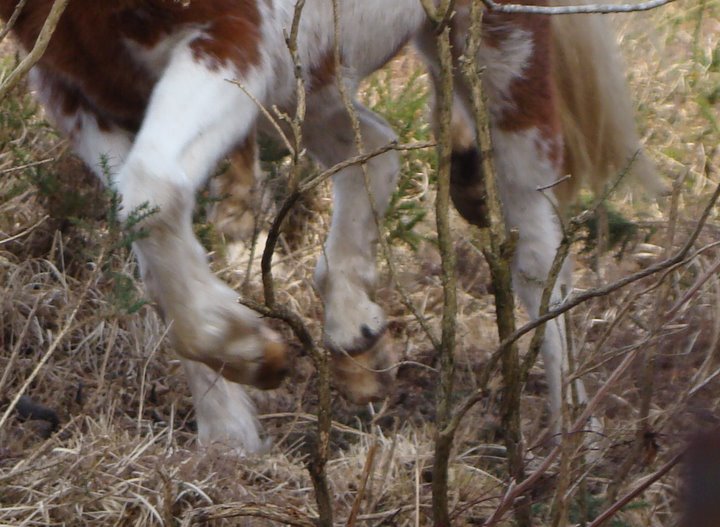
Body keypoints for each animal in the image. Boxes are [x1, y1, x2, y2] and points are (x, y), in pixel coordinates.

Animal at [0, 0, 652, 454]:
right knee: (376, 148)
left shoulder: (234, 37)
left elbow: (154, 194)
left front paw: (246, 352)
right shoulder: (75, 87)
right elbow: (146, 232)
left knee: (538, 251)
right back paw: (352, 328)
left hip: (496, 49)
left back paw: (570, 448)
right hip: (307, 75)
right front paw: (227, 434)